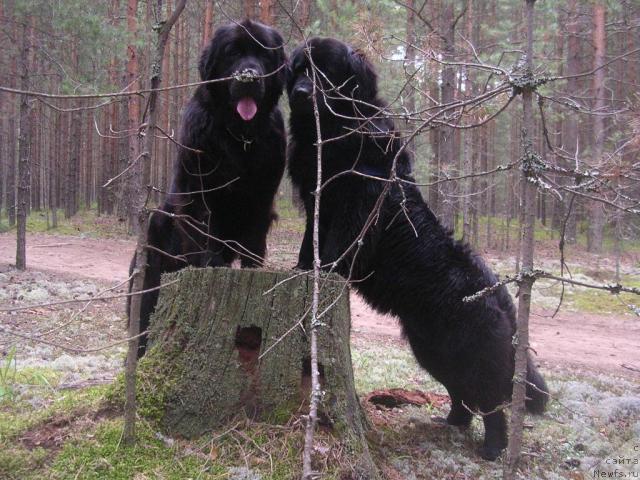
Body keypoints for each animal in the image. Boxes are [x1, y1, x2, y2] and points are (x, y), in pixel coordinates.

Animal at [128, 19, 288, 356]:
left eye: (263, 54)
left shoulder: (263, 194)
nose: (249, 76)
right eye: (232, 53)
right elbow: (204, 229)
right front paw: (211, 262)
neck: (240, 136)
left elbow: (254, 239)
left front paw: (252, 269)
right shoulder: (197, 187)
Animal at [288, 38, 548, 462]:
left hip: (470, 352)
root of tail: (500, 294)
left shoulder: (358, 205)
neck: (339, 129)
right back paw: (452, 422)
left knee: (491, 401)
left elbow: (337, 245)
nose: (299, 92)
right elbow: (309, 240)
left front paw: (324, 271)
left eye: (325, 73)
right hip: (433, 349)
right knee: (462, 392)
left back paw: (493, 449)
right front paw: (300, 269)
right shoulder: (316, 204)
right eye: (298, 70)